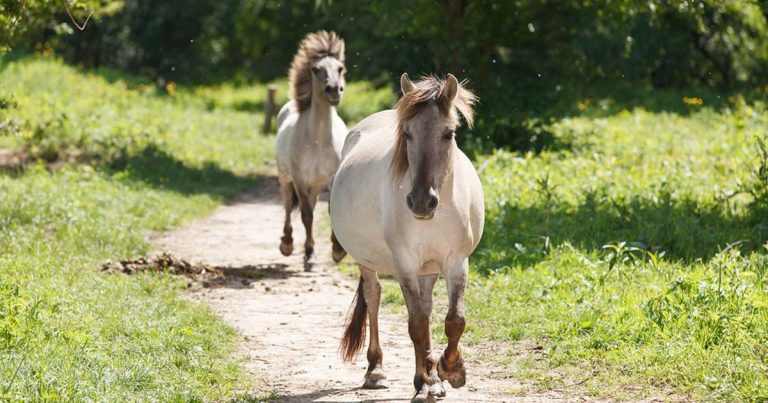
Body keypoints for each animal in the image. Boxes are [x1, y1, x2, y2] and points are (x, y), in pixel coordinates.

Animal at [276, 30, 348, 272]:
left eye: (340, 68)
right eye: (316, 69)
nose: (334, 90)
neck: (318, 140)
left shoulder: (332, 178)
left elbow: (329, 210)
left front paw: (338, 251)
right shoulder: (299, 179)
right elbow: (306, 215)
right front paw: (309, 256)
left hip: (315, 185)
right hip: (286, 179)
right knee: (288, 207)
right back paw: (287, 244)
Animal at [332, 74, 486, 402]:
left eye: (448, 133)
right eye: (407, 133)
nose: (421, 202)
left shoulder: (457, 262)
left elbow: (454, 320)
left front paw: (450, 370)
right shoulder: (404, 265)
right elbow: (416, 325)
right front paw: (427, 381)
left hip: (427, 270)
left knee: (426, 309)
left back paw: (431, 378)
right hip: (368, 262)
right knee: (374, 298)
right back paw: (376, 370)